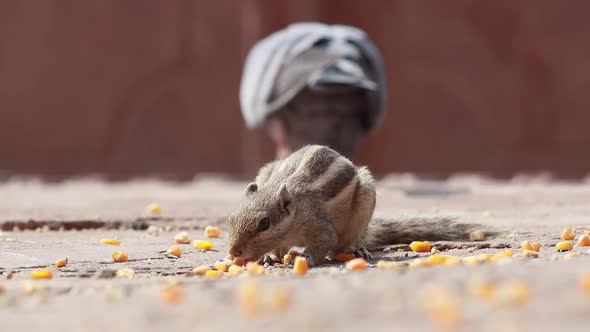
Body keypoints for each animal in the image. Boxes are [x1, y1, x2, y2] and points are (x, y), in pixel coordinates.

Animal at [229, 144, 498, 266]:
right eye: (231, 218)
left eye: (264, 223)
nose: (234, 252)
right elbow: (278, 248)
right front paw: (268, 258)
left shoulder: (318, 223)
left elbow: (325, 241)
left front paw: (306, 258)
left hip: (365, 201)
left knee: (347, 242)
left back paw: (357, 249)